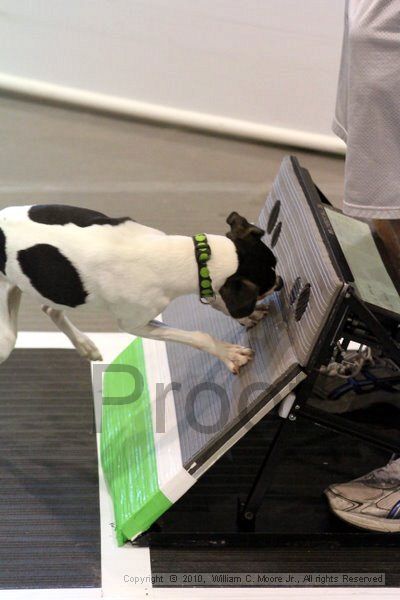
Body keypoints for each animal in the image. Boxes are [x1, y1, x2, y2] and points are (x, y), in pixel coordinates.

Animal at [0, 207, 282, 376]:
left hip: (57, 289)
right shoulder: (134, 325)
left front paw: (249, 316)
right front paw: (229, 354)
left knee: (50, 308)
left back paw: (84, 345)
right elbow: (199, 337)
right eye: (266, 286)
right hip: (7, 339)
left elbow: (219, 303)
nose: (280, 282)